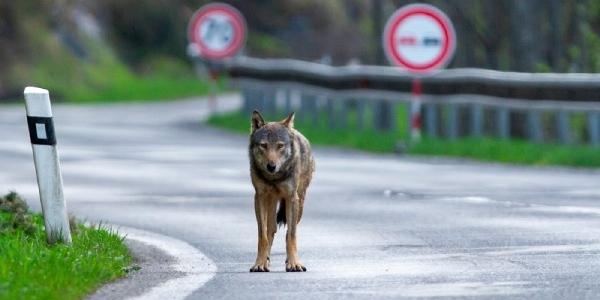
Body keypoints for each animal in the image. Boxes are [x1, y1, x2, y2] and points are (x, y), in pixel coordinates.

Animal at [248, 109, 316, 272]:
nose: (271, 166)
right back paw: (266, 261)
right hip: (271, 202)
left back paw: (288, 262)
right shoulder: (259, 197)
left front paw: (294, 264)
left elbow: (291, 235)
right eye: (263, 145)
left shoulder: (291, 198)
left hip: (299, 204)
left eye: (280, 146)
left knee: (287, 232)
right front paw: (259, 263)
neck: (274, 178)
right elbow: (263, 236)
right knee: (271, 229)